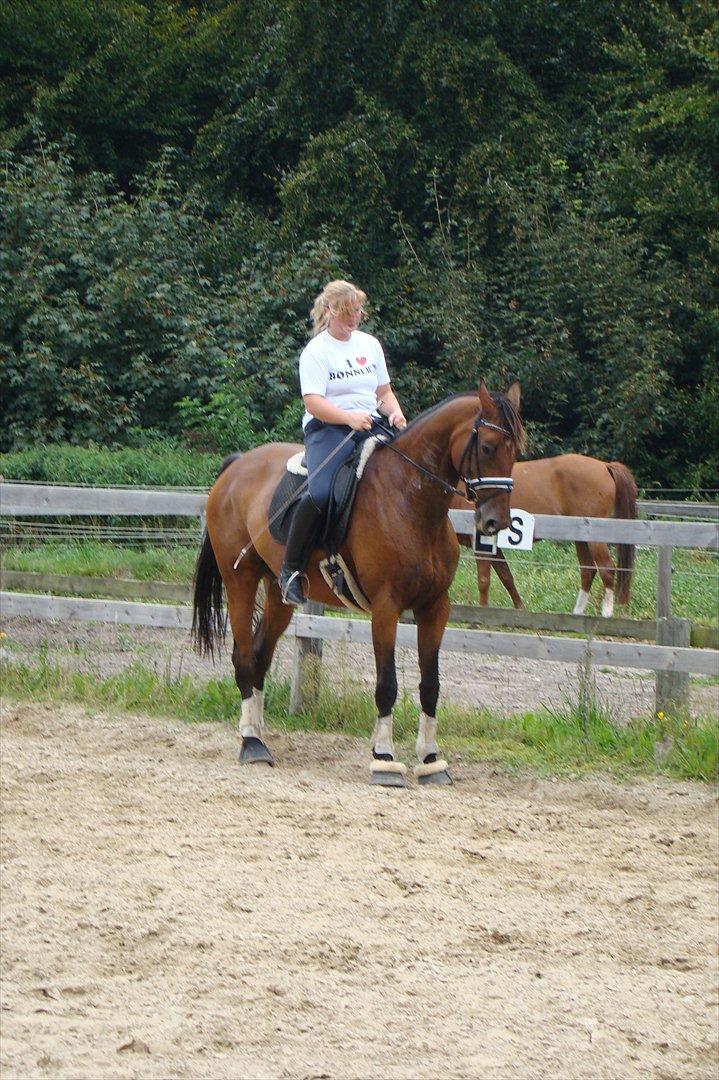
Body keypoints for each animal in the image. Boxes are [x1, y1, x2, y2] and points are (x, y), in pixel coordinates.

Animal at [193, 380, 524, 786]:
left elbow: (430, 685)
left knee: (259, 656)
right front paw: (384, 759)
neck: (410, 500)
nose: (497, 522)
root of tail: (237, 466)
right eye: (488, 447)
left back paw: (257, 735)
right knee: (242, 656)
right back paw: (250, 745)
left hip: (277, 593)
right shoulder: (386, 606)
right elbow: (387, 685)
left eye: (517, 451)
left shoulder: (435, 607)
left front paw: (431, 760)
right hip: (240, 579)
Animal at [453, 451, 639, 613]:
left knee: (606, 570)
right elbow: (506, 577)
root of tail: (605, 466)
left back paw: (606, 614)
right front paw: (520, 609)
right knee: (588, 571)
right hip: (581, 539)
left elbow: (484, 581)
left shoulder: (480, 543)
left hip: (595, 539)